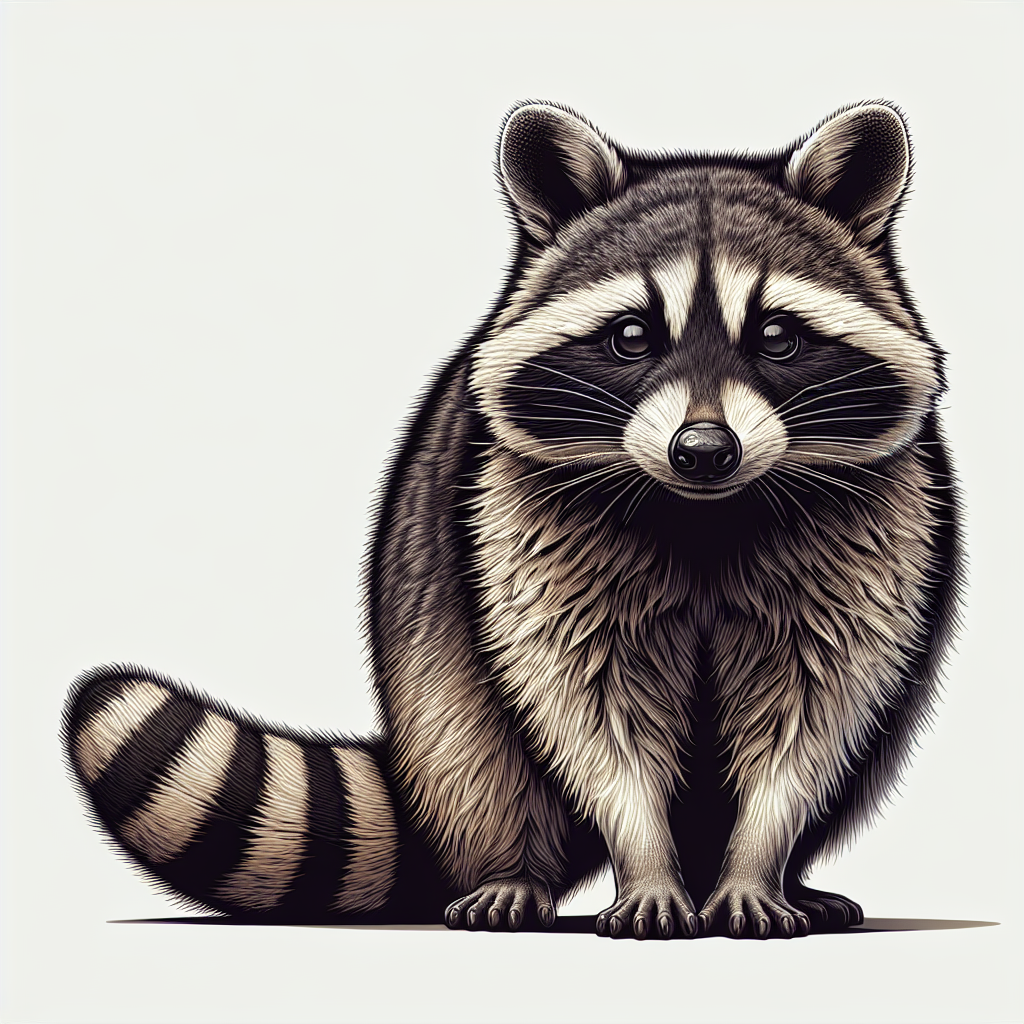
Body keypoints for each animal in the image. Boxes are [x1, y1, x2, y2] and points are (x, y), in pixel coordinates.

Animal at [64, 100, 962, 939]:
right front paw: (646, 861)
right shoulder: (519, 522)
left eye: (777, 336)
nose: (704, 449)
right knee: (470, 740)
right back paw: (513, 869)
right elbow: (590, 713)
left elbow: (810, 717)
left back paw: (792, 877)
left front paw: (756, 862)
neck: (702, 513)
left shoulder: (870, 535)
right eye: (631, 335)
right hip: (436, 638)